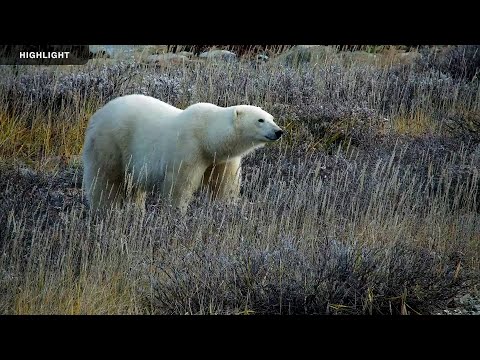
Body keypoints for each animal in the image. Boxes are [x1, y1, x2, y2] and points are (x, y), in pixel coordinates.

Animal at [81, 95, 284, 214]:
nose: (279, 131)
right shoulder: (188, 149)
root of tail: (97, 115)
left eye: (272, 118)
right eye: (260, 120)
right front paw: (177, 214)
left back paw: (136, 210)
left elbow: (225, 184)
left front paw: (228, 208)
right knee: (105, 179)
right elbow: (179, 185)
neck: (207, 135)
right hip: (111, 142)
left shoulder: (221, 159)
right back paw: (105, 210)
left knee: (134, 186)